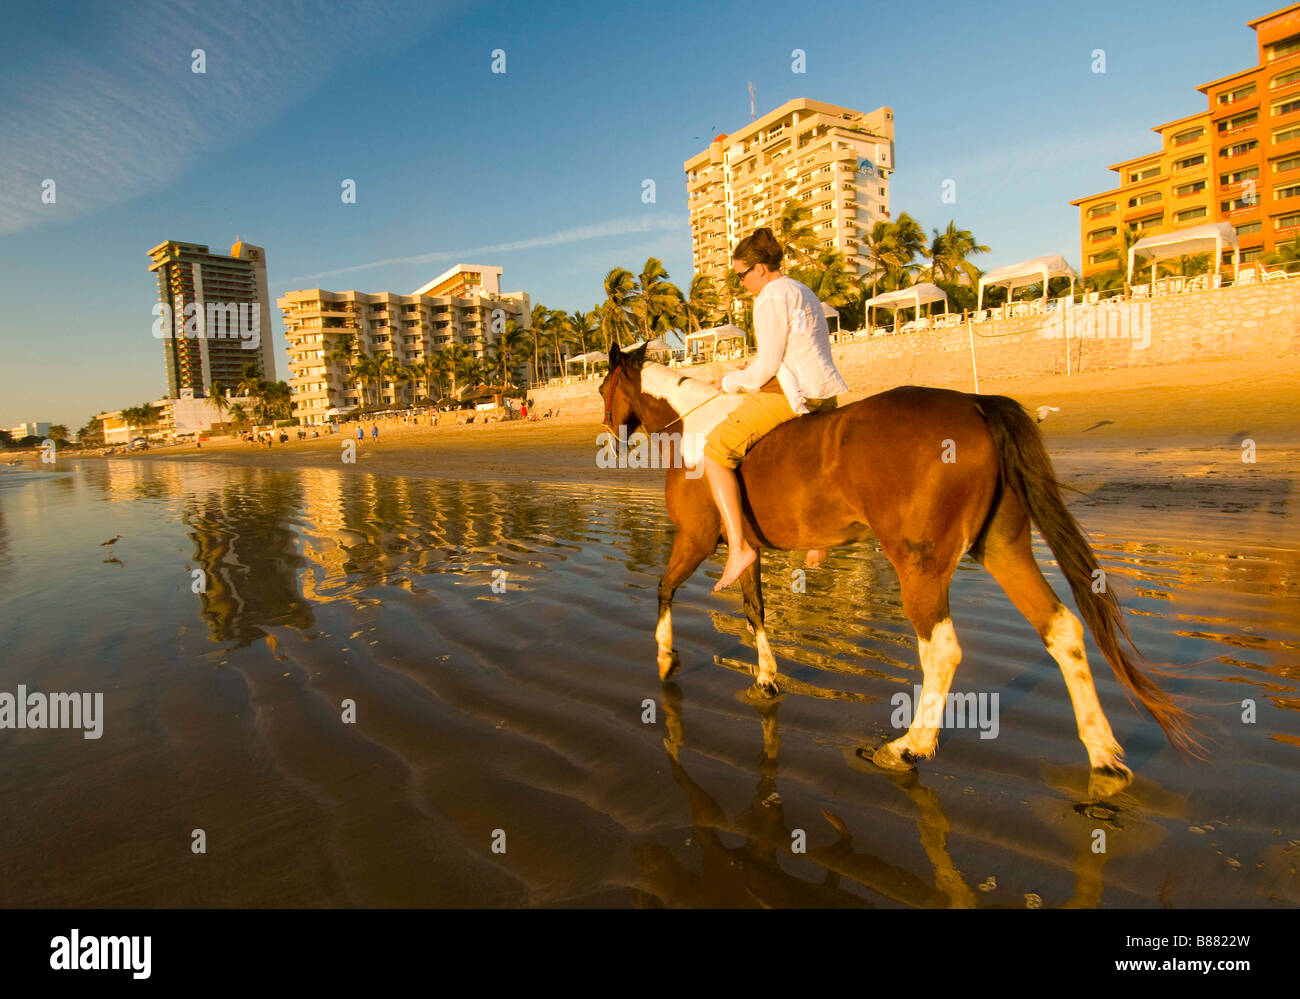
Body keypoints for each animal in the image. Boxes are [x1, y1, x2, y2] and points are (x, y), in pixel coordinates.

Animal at [598, 338, 1196, 790]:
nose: (607, 432)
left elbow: (664, 589)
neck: (693, 427)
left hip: (919, 565)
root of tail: (975, 405)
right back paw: (1101, 753)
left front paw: (666, 658)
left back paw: (909, 746)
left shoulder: (696, 540)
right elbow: (755, 611)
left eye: (603, 388)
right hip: (1003, 549)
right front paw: (766, 679)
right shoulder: (747, 550)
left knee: (943, 650)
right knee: (1062, 629)